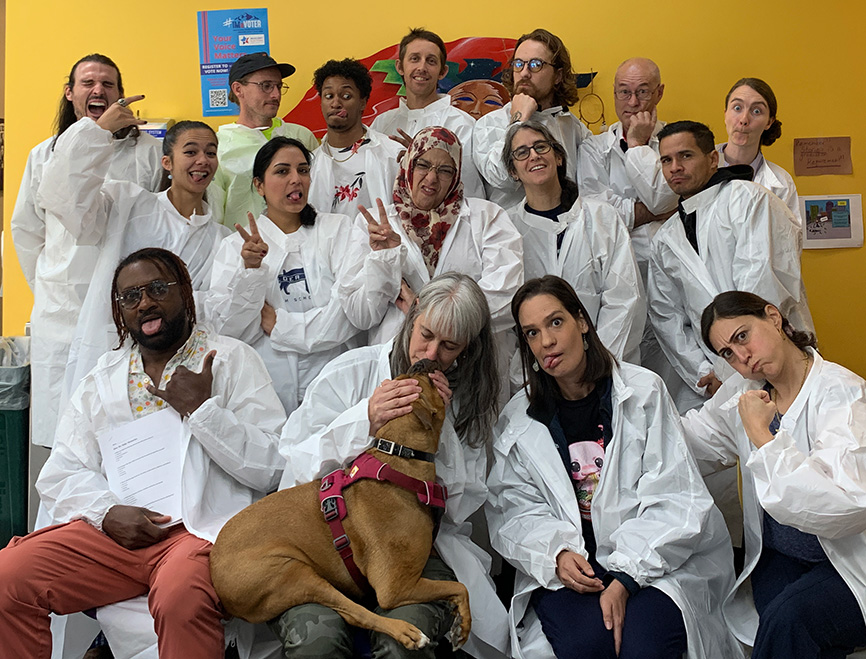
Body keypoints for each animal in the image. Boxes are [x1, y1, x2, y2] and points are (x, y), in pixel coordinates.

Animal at [210, 360, 472, 648]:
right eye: (425, 379)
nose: (422, 362)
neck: (397, 460)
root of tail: (216, 579)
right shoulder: (396, 587)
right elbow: (461, 586)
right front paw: (464, 625)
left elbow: (458, 588)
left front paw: (461, 623)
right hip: (293, 573)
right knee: (355, 613)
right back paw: (407, 632)